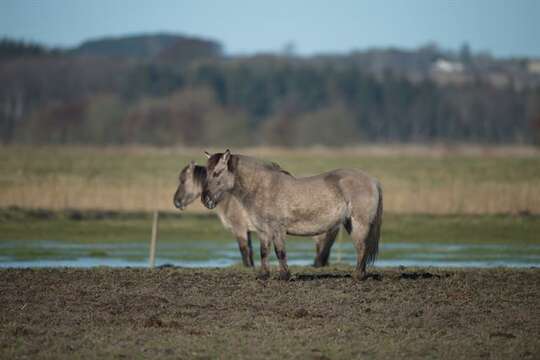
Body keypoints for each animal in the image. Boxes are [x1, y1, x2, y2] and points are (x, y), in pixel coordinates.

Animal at [173, 160, 340, 268]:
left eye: (183, 180)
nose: (176, 202)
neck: (230, 196)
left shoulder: (239, 228)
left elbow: (243, 249)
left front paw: (248, 267)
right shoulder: (248, 231)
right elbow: (251, 250)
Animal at [200, 150, 382, 280]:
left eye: (217, 173)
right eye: (207, 173)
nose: (205, 199)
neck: (263, 188)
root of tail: (373, 180)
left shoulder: (277, 229)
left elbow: (280, 252)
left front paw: (284, 276)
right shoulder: (263, 231)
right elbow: (264, 252)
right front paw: (264, 275)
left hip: (359, 223)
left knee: (361, 247)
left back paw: (358, 276)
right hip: (350, 223)